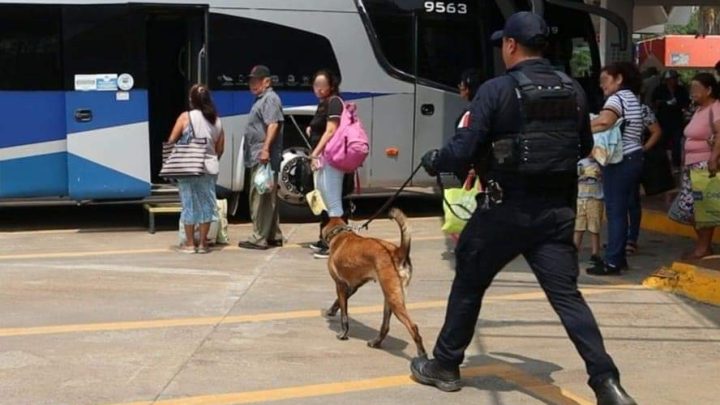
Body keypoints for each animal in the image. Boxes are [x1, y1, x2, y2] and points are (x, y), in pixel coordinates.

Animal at [324, 207, 424, 356]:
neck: (340, 234)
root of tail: (398, 252)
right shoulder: (352, 286)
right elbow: (339, 302)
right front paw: (332, 310)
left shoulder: (340, 285)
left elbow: (344, 315)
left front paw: (343, 334)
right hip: (390, 297)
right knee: (385, 326)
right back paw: (376, 342)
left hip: (394, 299)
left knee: (413, 327)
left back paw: (422, 353)